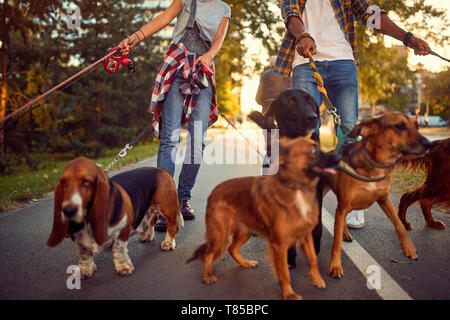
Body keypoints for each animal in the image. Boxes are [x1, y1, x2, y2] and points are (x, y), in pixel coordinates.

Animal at [47, 157, 183, 278]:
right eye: (63, 183)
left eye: (86, 182)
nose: (68, 210)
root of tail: (161, 169)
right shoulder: (79, 239)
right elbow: (84, 254)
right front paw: (84, 270)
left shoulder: (122, 232)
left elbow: (119, 249)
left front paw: (123, 267)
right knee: (152, 218)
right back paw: (146, 235)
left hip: (167, 207)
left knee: (173, 227)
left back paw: (167, 244)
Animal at [187, 138, 342, 300]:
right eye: (314, 151)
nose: (339, 157)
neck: (296, 189)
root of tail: (214, 191)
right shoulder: (279, 245)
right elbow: (284, 273)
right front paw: (289, 294)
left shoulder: (305, 235)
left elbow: (313, 259)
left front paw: (317, 279)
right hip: (220, 234)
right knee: (208, 254)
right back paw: (207, 276)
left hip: (245, 232)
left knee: (231, 249)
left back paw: (245, 263)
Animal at [248, 87, 322, 268]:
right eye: (291, 101)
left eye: (310, 100)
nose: (313, 118)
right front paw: (289, 257)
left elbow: (317, 225)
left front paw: (315, 248)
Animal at [326, 112, 430, 278]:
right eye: (399, 126)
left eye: (417, 125)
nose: (429, 144)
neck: (375, 165)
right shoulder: (343, 206)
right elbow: (336, 243)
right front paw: (335, 266)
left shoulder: (383, 199)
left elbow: (399, 224)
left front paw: (409, 248)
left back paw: (346, 234)